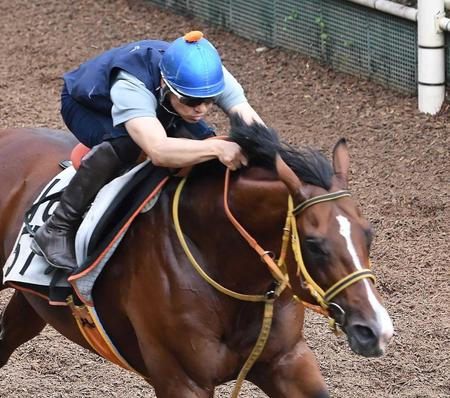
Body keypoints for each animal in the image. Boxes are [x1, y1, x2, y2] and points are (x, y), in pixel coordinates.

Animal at [0, 123, 394, 396]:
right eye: (314, 245)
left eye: (368, 233)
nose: (375, 329)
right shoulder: (183, 381)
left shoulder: (286, 360)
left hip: (31, 303)